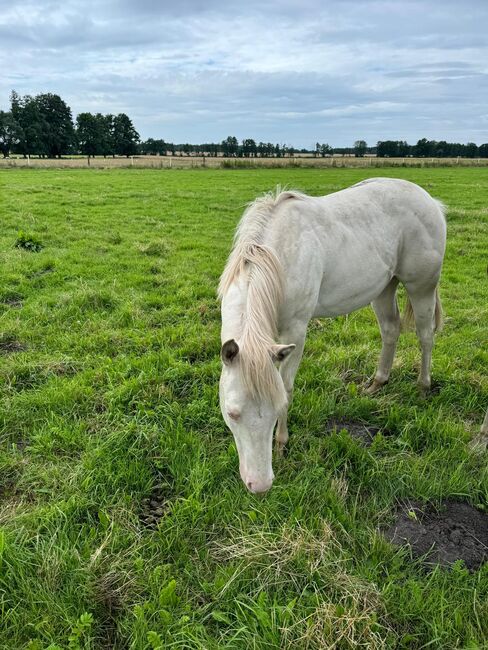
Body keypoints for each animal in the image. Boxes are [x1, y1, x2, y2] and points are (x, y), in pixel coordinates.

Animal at [220, 177, 446, 492]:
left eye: (276, 408)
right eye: (232, 413)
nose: (260, 485)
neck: (275, 260)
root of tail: (429, 200)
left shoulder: (296, 331)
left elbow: (287, 386)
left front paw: (281, 444)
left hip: (421, 287)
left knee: (425, 335)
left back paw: (423, 387)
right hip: (384, 287)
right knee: (391, 329)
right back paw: (377, 383)